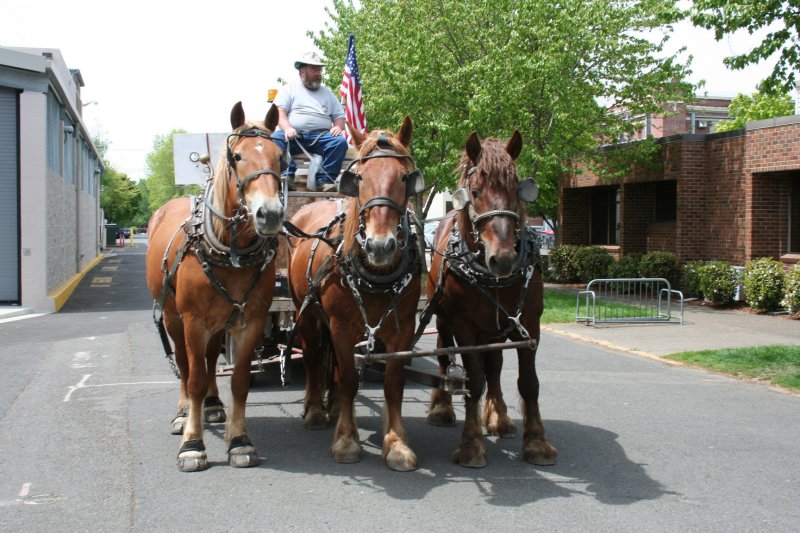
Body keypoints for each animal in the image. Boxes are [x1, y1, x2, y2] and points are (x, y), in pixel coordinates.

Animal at [145, 102, 286, 472]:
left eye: (280, 157)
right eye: (237, 156)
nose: (270, 214)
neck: (229, 250)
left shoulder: (249, 321)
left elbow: (239, 381)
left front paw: (239, 440)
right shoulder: (193, 320)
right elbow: (193, 377)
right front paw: (192, 444)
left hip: (219, 320)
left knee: (208, 359)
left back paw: (211, 404)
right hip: (173, 318)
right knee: (184, 363)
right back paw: (184, 413)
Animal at [286, 116, 424, 470]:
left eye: (405, 177)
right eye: (359, 177)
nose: (380, 245)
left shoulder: (402, 329)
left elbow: (393, 383)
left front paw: (396, 444)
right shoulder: (340, 326)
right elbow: (348, 378)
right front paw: (347, 440)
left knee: (331, 363)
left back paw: (333, 406)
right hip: (306, 312)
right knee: (313, 358)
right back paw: (315, 410)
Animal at [424, 131, 556, 468]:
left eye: (515, 188)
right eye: (475, 191)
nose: (504, 258)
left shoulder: (529, 324)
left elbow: (528, 382)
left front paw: (537, 442)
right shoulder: (464, 326)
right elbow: (473, 382)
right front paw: (471, 445)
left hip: (496, 328)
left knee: (494, 365)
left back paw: (498, 417)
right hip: (444, 319)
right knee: (443, 354)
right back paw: (442, 408)